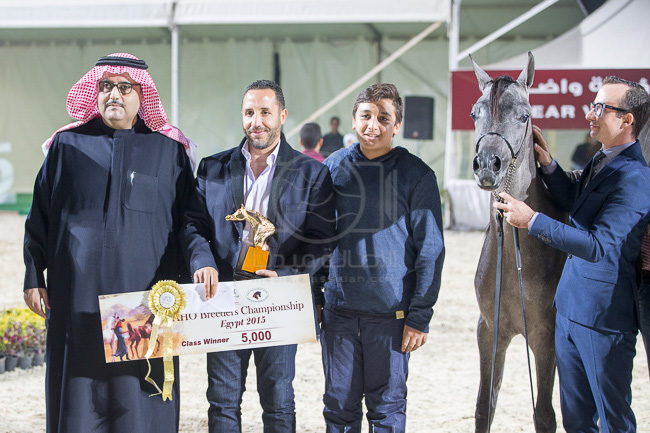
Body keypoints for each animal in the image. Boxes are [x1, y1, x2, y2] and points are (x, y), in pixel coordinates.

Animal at [470, 52, 568, 433]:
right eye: (475, 113)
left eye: (524, 116)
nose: (487, 165)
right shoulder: (489, 332)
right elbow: (485, 406)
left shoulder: (545, 337)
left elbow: (544, 414)